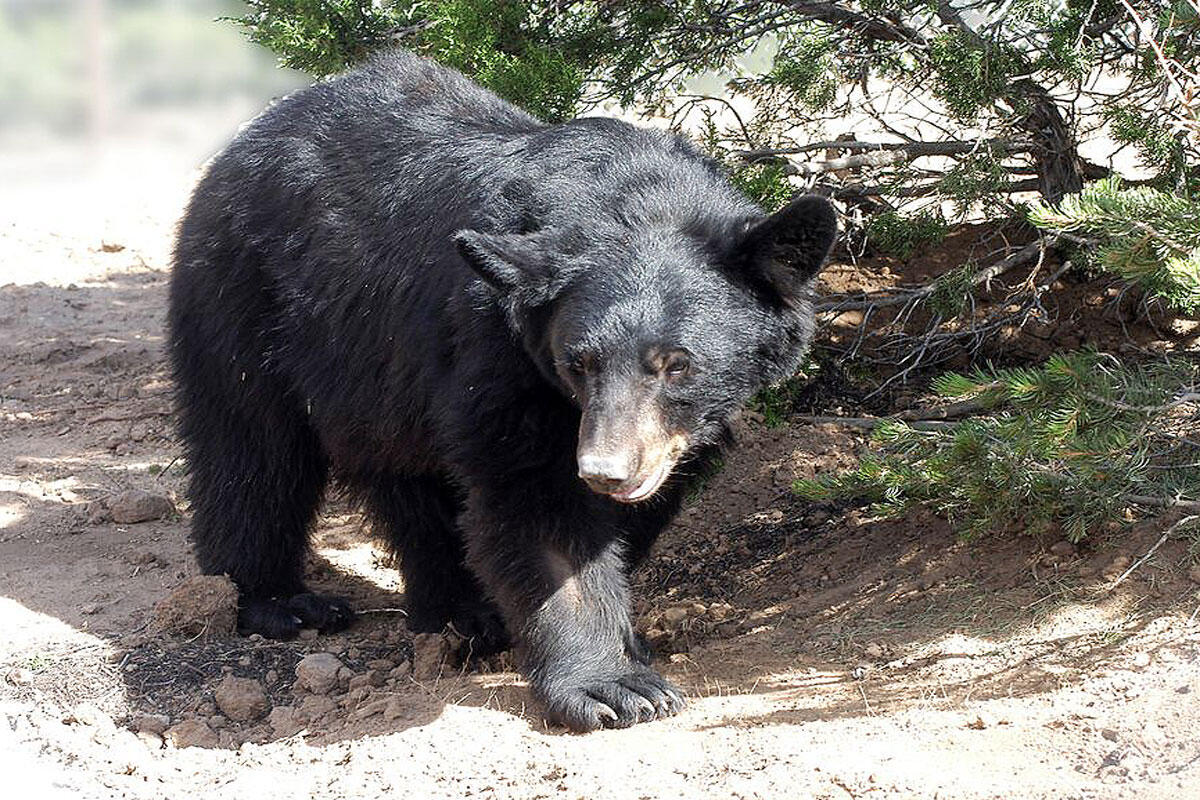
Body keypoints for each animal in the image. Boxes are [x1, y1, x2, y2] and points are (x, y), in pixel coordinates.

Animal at [169, 50, 835, 734]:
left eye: (677, 364)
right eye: (578, 363)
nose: (606, 471)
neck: (639, 195)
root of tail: (244, 140)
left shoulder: (675, 429)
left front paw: (628, 635)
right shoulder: (498, 348)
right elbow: (536, 500)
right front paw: (613, 686)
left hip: (372, 370)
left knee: (400, 478)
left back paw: (454, 610)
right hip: (243, 302)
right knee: (253, 452)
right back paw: (279, 602)